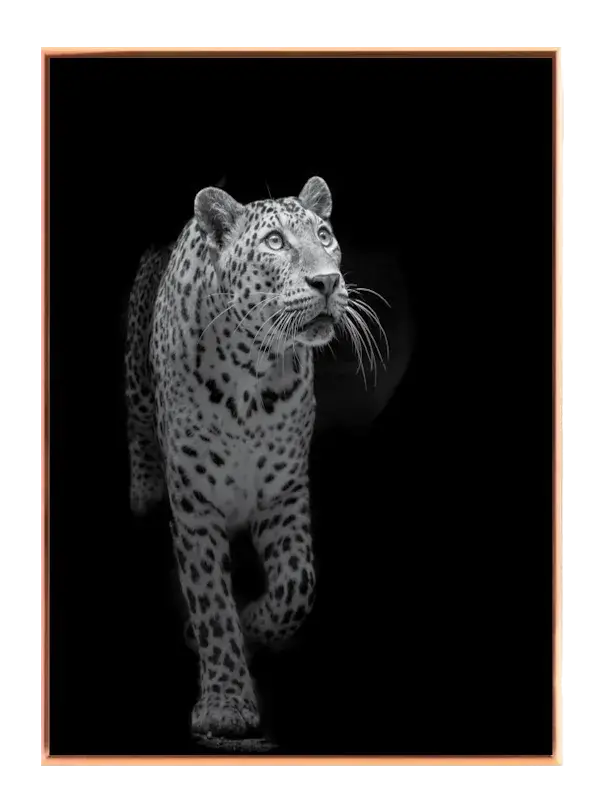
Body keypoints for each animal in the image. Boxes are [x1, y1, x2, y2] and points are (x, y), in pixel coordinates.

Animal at [124, 176, 377, 745]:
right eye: (275, 242)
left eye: (324, 235)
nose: (328, 281)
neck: (250, 372)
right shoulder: (195, 507)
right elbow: (212, 606)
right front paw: (225, 703)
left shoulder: (284, 493)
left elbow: (296, 585)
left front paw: (254, 627)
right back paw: (142, 493)